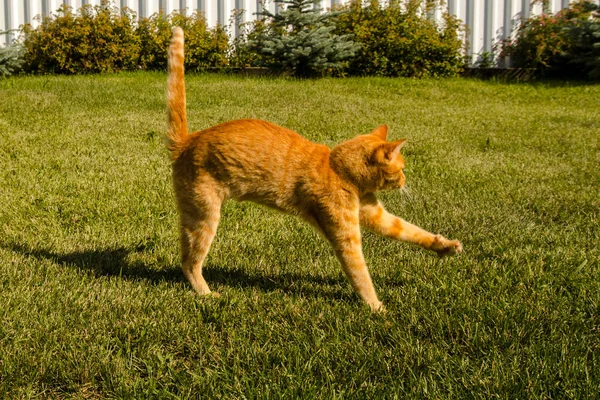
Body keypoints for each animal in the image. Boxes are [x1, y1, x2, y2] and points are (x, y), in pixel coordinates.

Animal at [166, 27, 462, 312]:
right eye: (401, 169)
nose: (404, 180)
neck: (339, 170)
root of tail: (188, 140)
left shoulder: (376, 216)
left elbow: (409, 230)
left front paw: (444, 246)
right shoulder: (346, 236)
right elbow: (360, 273)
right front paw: (376, 307)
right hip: (203, 217)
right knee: (189, 262)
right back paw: (205, 294)